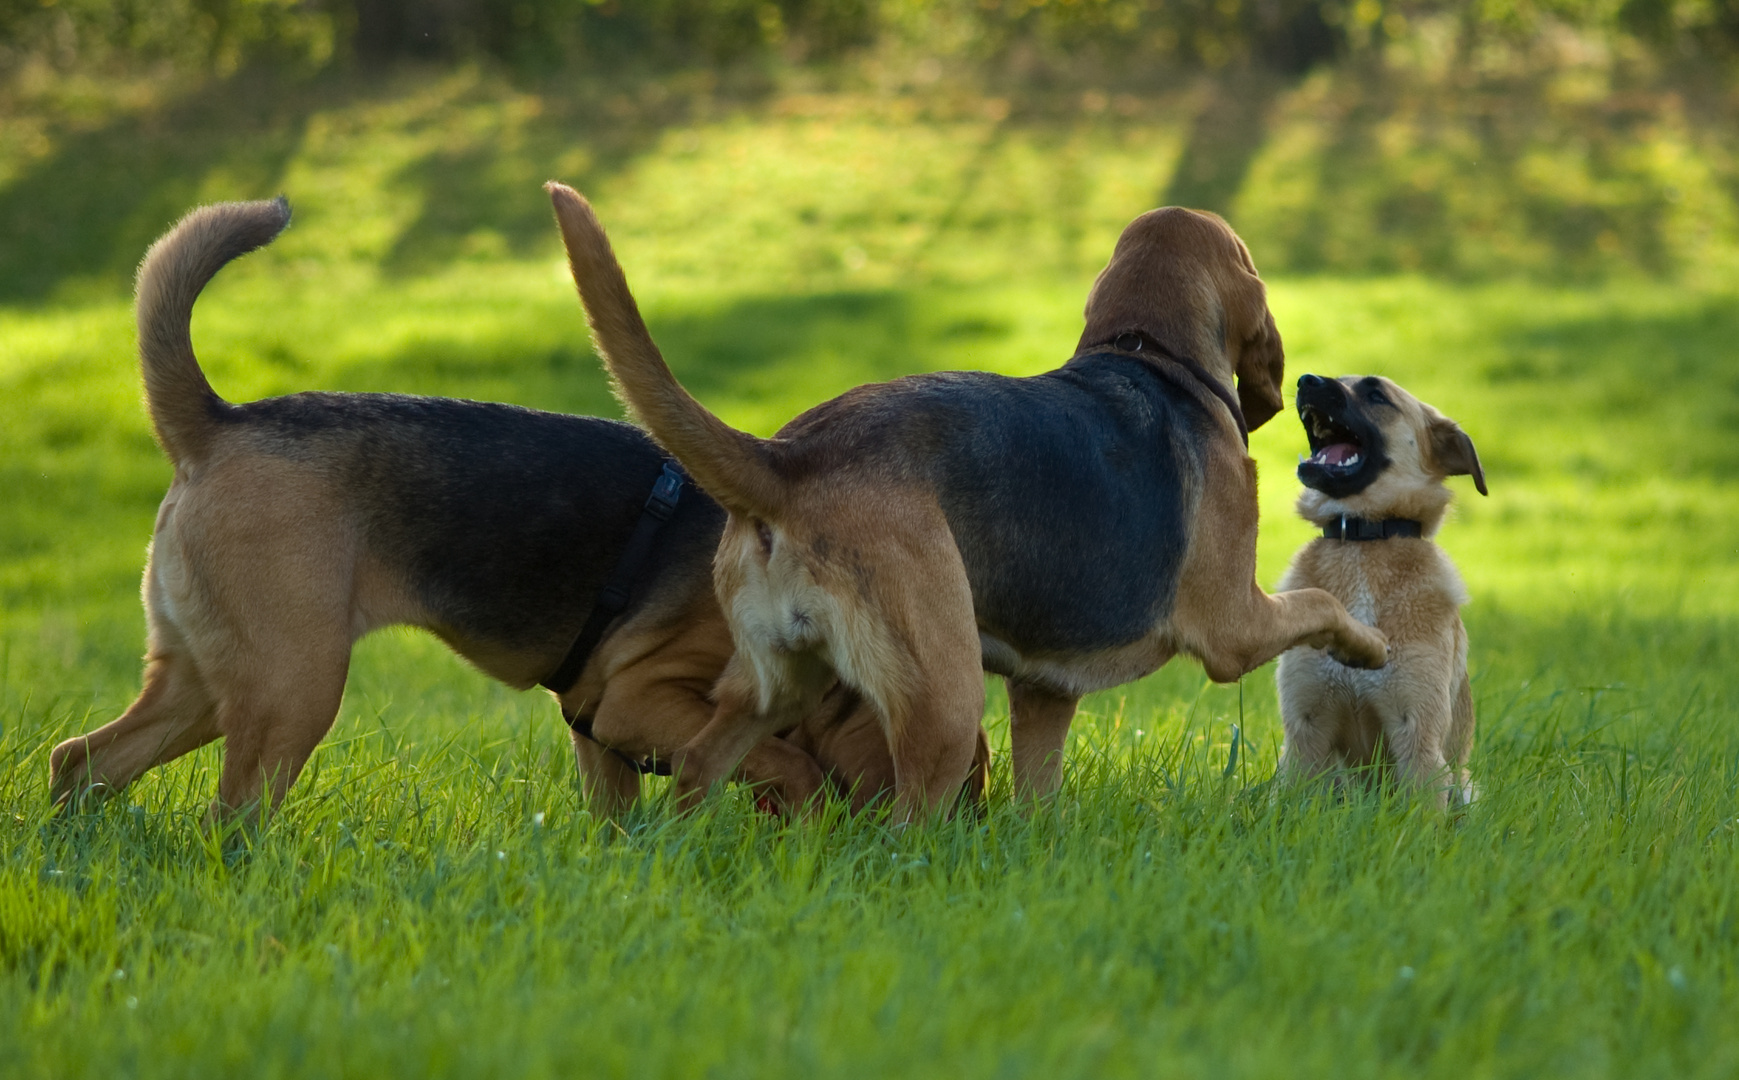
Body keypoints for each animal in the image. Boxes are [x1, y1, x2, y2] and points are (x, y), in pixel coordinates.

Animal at [47, 198, 966, 817]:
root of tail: (217, 422)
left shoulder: (600, 733)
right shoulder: (643, 700)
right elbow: (789, 766)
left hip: (201, 681)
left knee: (81, 761)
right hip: (290, 690)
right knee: (228, 818)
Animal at [542, 183, 1384, 817]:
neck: (1150, 354)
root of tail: (790, 460)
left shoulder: (1044, 688)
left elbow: (1037, 794)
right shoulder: (1234, 625)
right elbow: (1320, 605)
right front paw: (1369, 648)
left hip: (768, 686)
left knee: (695, 767)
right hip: (942, 706)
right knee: (905, 821)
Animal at [1272, 375, 1488, 803]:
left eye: (1376, 394)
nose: (1305, 380)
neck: (1362, 535)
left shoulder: (1418, 733)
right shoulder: (1304, 734)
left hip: (1464, 788)